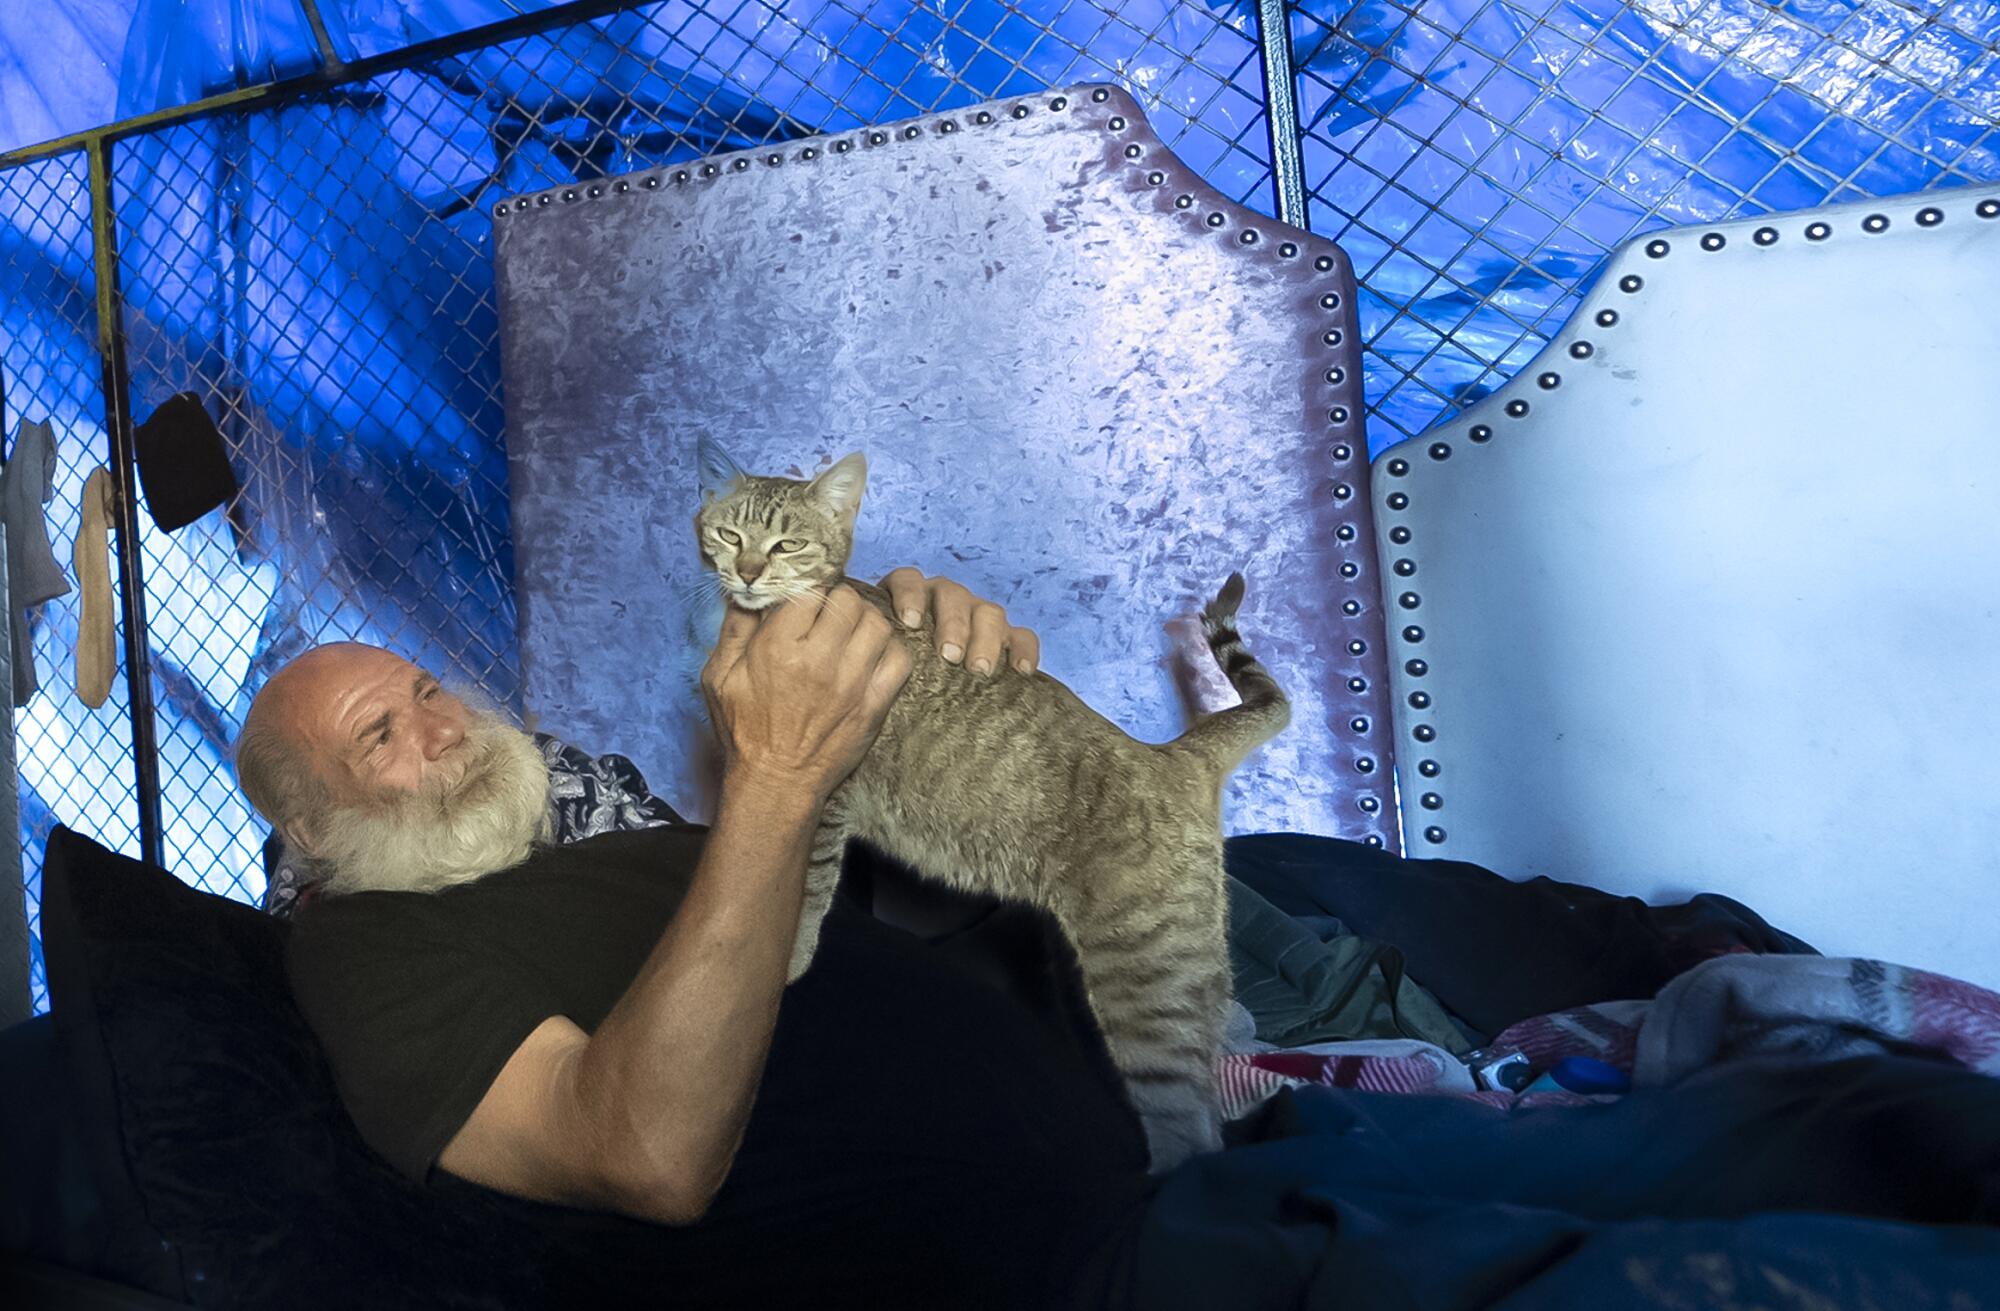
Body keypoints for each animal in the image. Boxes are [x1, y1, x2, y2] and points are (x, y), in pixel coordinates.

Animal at [696, 439, 1288, 1167]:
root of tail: (1172, 754)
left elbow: (807, 886)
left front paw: (790, 957)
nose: (748, 572)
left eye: (787, 544)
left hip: (1147, 983)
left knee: (1190, 1130)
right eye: (730, 534)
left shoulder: (822, 790)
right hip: (1193, 975)